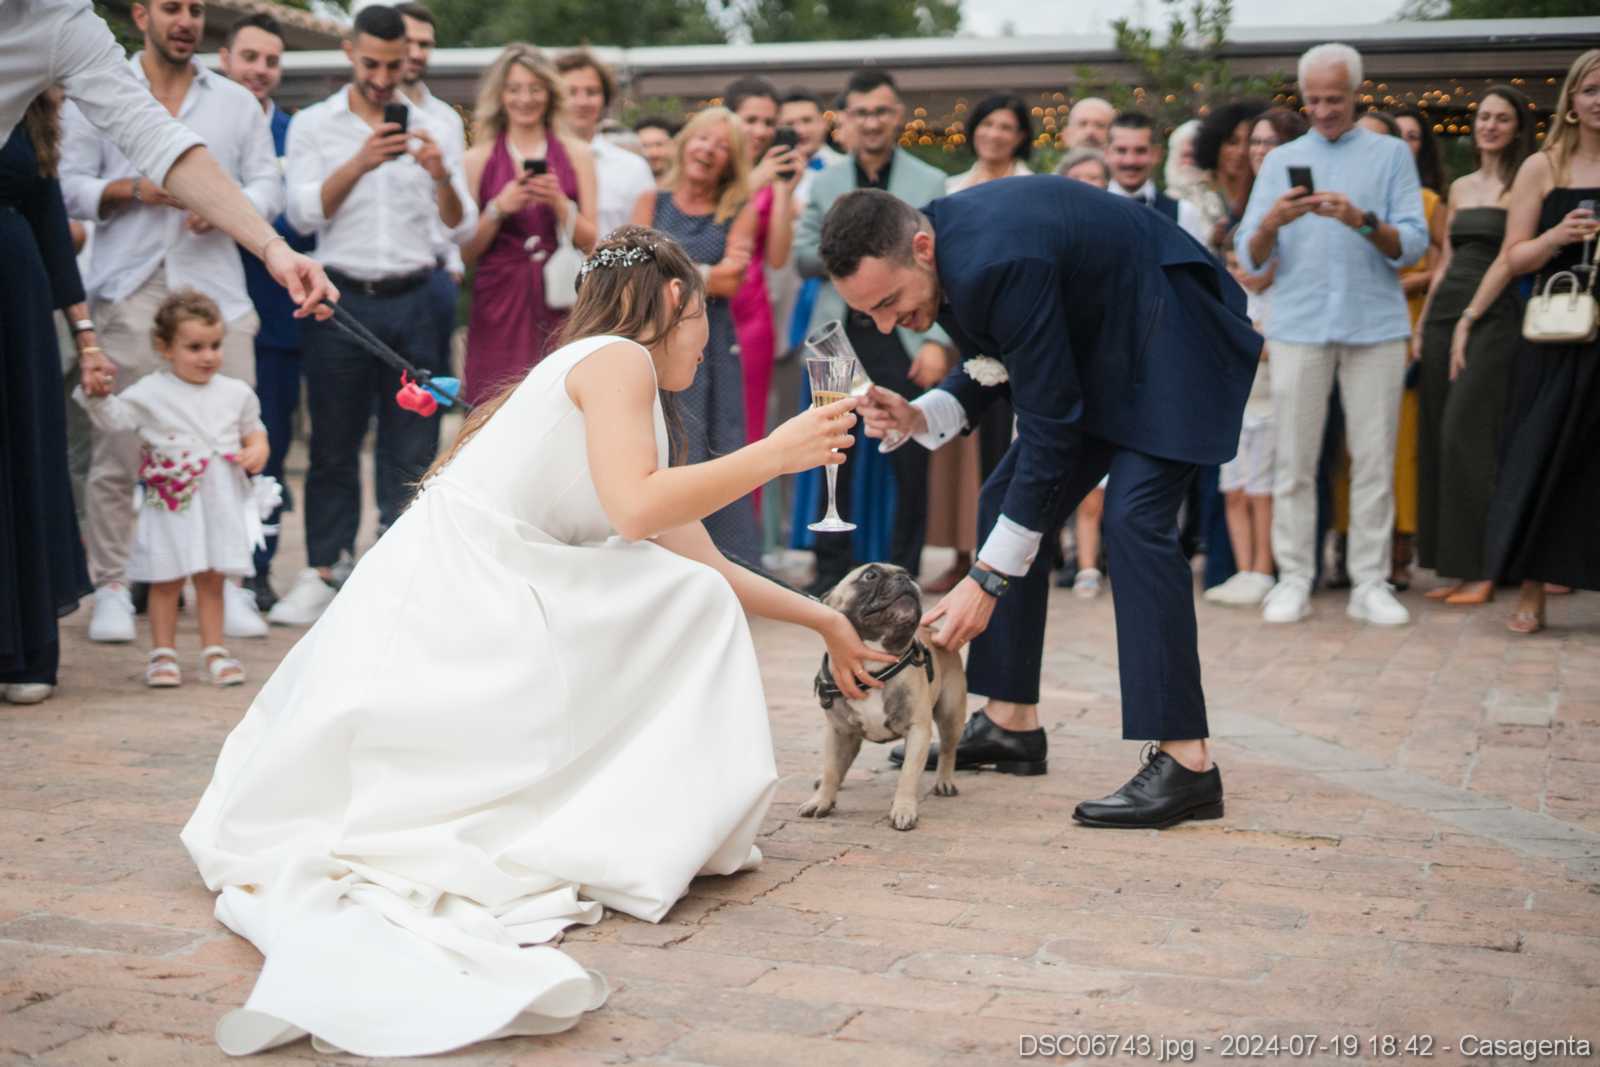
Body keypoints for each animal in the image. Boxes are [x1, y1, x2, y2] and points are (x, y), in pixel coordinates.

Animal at [801, 563, 967, 831]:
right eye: (870, 575)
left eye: (907, 574)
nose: (906, 579)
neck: (873, 664)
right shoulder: (838, 731)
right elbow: (831, 768)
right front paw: (821, 800)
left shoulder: (918, 730)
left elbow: (908, 774)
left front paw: (903, 809)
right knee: (840, 763)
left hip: (951, 715)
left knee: (947, 750)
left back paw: (944, 782)